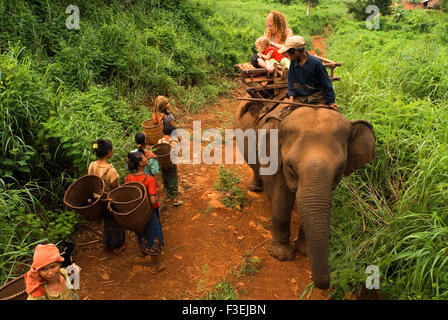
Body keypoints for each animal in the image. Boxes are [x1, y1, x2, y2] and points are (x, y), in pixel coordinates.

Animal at [231, 100, 374, 290]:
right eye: (291, 167)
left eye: (339, 170)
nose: (321, 283)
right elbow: (281, 199)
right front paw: (281, 255)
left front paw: (304, 252)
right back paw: (255, 188)